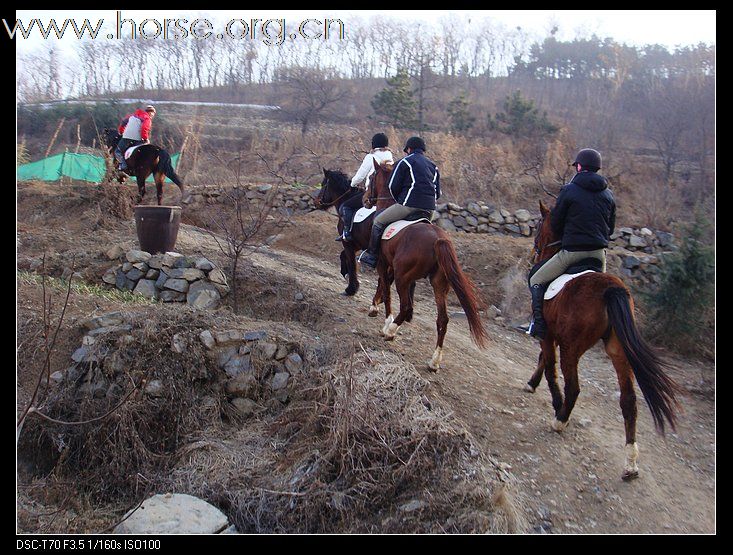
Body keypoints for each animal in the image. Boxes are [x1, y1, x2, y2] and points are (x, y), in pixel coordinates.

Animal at [368, 161, 488, 370]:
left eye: (370, 177)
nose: (365, 199)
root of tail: (439, 239)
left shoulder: (384, 264)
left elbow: (385, 290)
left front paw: (381, 316)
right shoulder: (390, 267)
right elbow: (383, 287)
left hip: (404, 277)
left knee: (406, 306)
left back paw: (391, 331)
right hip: (439, 284)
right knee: (443, 319)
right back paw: (435, 361)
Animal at [528, 200, 680, 482]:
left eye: (540, 225)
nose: (535, 253)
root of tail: (612, 289)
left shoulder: (548, 334)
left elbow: (549, 366)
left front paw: (549, 398)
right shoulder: (554, 335)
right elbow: (544, 361)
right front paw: (534, 384)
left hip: (573, 348)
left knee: (574, 387)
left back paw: (560, 420)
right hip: (619, 351)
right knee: (629, 400)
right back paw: (630, 464)